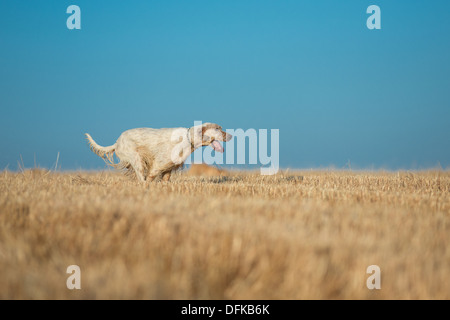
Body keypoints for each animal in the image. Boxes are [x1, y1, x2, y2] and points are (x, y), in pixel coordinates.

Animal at [85, 123, 232, 182]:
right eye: (218, 129)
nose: (231, 135)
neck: (188, 138)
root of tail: (117, 142)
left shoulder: (168, 167)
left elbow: (165, 179)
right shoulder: (158, 164)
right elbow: (151, 176)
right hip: (137, 159)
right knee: (141, 178)